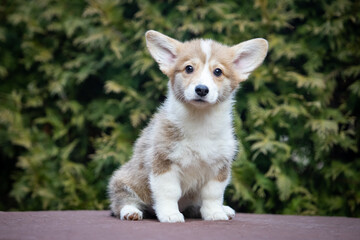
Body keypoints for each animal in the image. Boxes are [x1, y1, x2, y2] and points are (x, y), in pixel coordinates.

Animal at [108, 30, 268, 223]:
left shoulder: (219, 167)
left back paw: (224, 209)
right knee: (122, 201)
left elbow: (213, 194)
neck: (199, 120)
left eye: (218, 71)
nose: (202, 89)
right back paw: (130, 212)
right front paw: (170, 214)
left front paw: (215, 213)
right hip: (124, 180)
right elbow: (169, 192)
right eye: (189, 68)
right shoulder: (164, 162)